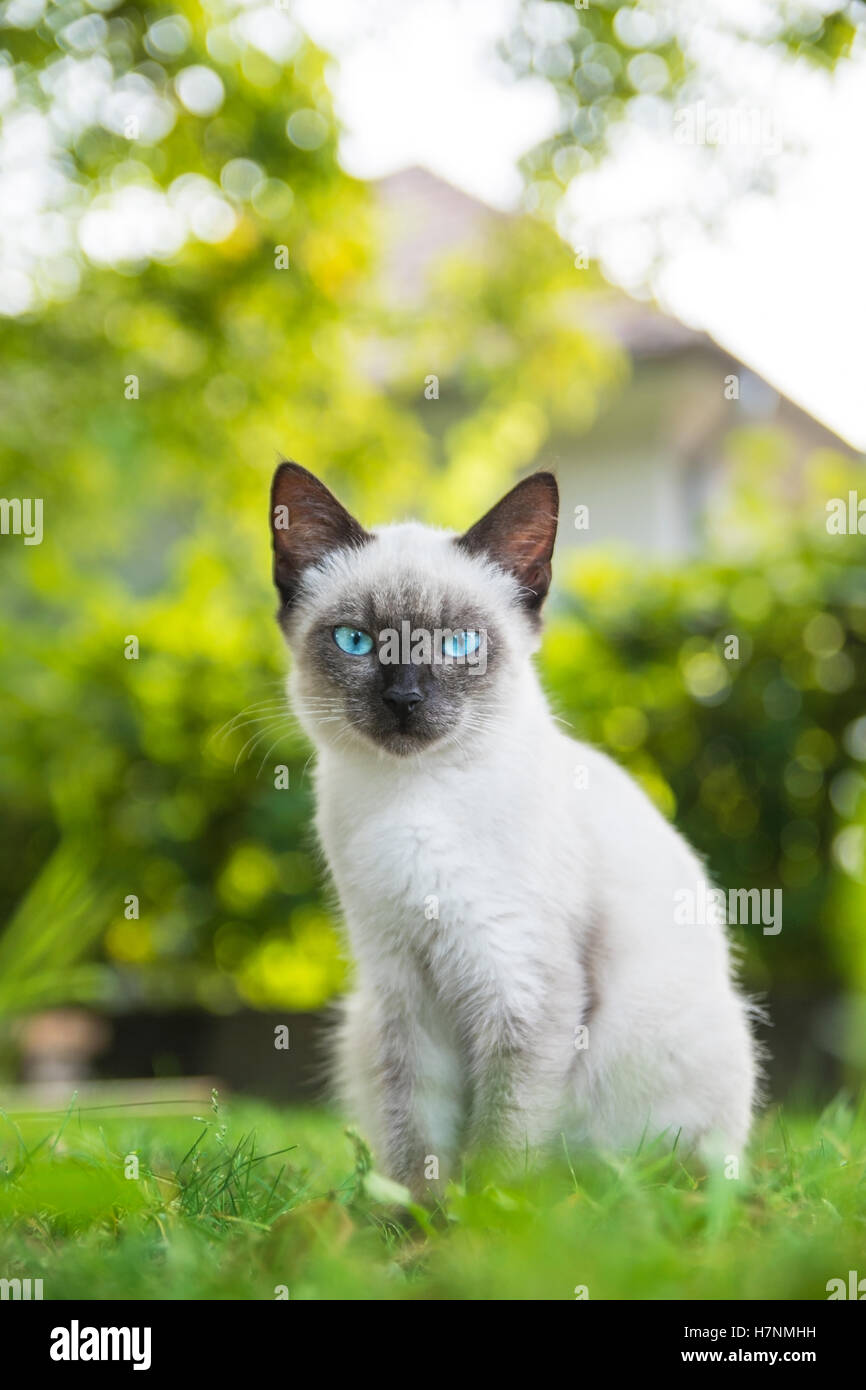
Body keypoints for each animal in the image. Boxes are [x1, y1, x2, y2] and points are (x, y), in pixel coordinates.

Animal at [269, 464, 756, 1195]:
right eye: (356, 640)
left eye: (459, 645)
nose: (404, 700)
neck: (415, 799)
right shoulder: (402, 988)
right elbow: (417, 1138)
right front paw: (414, 1219)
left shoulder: (522, 987)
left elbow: (501, 1141)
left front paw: (492, 1217)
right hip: (362, 1021)